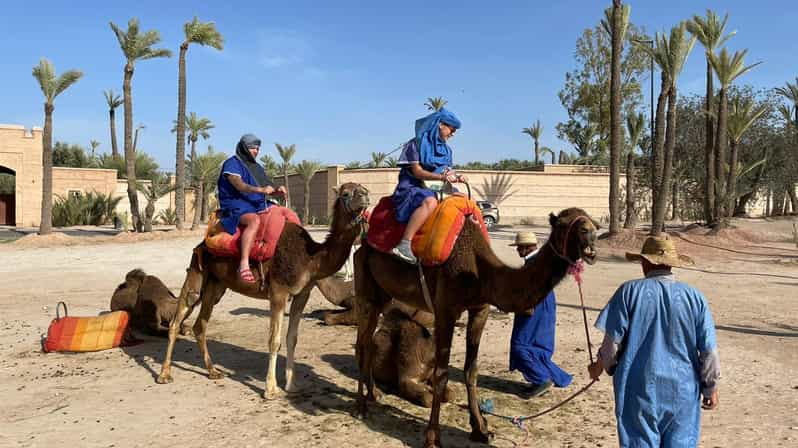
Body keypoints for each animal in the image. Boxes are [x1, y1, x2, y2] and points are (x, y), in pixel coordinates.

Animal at [157, 180, 372, 398]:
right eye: (345, 193)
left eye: (363, 188)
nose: (365, 195)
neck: (310, 258)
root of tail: (204, 241)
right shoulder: (278, 291)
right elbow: (274, 340)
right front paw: (270, 389)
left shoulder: (302, 294)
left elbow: (292, 338)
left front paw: (292, 385)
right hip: (196, 271)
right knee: (178, 317)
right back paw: (164, 375)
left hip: (216, 285)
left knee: (200, 324)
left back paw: (213, 371)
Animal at [356, 208, 600, 446]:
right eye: (562, 224)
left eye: (590, 221)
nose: (590, 234)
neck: (480, 272)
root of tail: (364, 241)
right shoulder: (445, 310)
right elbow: (441, 373)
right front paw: (433, 438)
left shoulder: (480, 309)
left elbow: (471, 369)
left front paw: (481, 429)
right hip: (366, 285)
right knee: (363, 341)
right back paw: (361, 406)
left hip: (384, 294)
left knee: (367, 338)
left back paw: (372, 395)